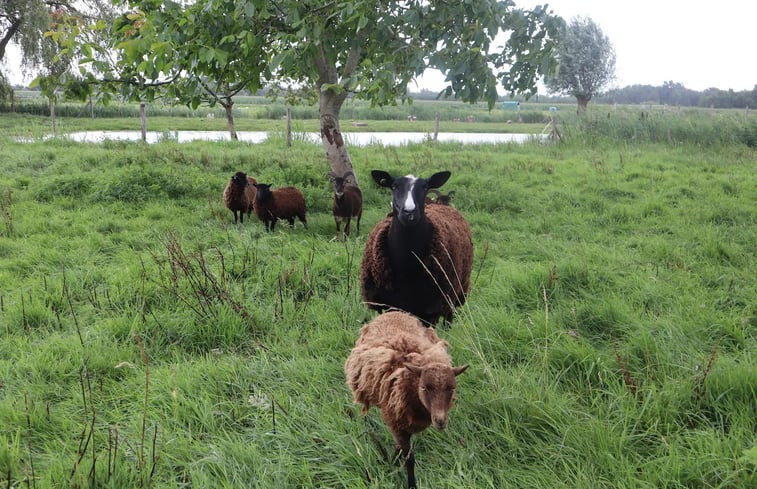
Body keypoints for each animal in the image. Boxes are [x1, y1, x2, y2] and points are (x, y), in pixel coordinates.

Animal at [344, 310, 466, 486]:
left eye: (452, 388)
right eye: (424, 387)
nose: (440, 421)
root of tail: (393, 312)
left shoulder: (407, 423)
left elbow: (401, 448)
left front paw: (392, 461)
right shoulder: (395, 421)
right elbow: (409, 458)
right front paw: (411, 483)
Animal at [360, 170, 472, 326]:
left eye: (425, 187)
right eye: (394, 186)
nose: (409, 212)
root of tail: (436, 203)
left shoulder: (430, 309)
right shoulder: (388, 305)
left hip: (454, 294)